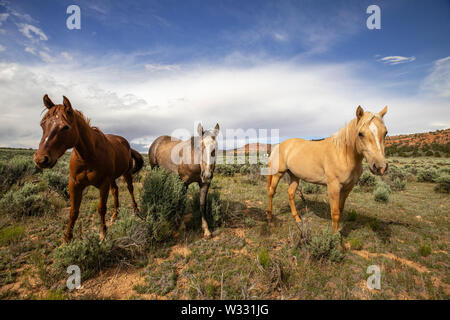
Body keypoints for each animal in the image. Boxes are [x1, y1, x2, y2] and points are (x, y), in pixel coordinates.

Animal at [35, 95, 144, 242]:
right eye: (42, 124)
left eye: (65, 127)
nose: (41, 159)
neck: (88, 156)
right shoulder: (74, 184)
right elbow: (73, 211)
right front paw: (67, 238)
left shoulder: (103, 184)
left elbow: (101, 208)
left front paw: (103, 234)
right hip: (112, 178)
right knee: (115, 190)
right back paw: (115, 214)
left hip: (126, 174)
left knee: (130, 189)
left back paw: (135, 210)